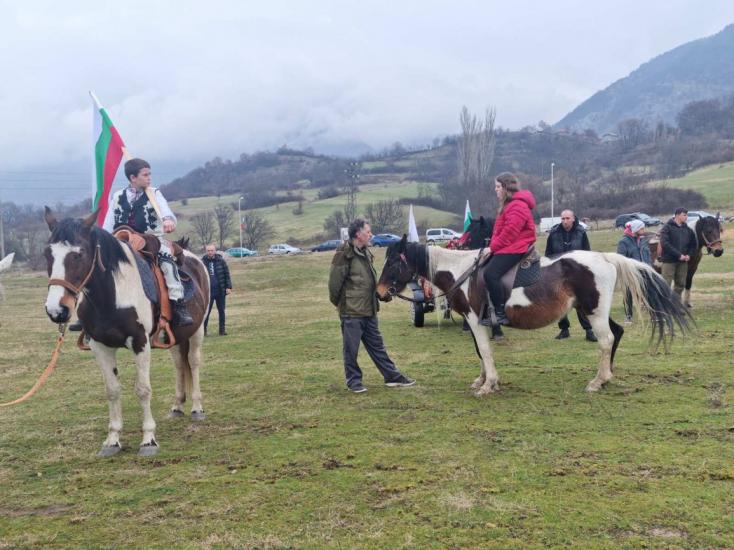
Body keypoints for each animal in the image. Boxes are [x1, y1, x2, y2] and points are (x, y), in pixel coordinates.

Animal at [43, 209, 210, 460]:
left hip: (196, 331)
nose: (57, 310)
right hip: (174, 338)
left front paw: (149, 440)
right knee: (180, 365)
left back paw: (197, 407)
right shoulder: (100, 346)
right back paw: (177, 406)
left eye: (79, 254)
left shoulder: (140, 343)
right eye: (47, 254)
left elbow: (143, 390)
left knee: (194, 362)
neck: (112, 294)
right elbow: (112, 391)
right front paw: (112, 440)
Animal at [376, 237, 692, 396]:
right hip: (590, 310)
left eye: (392, 263)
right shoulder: (472, 321)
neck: (462, 271)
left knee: (605, 340)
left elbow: (485, 351)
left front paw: (489, 385)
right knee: (616, 334)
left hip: (594, 312)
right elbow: (479, 352)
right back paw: (607, 377)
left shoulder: (476, 321)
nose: (379, 293)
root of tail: (605, 257)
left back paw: (597, 381)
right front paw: (482, 380)